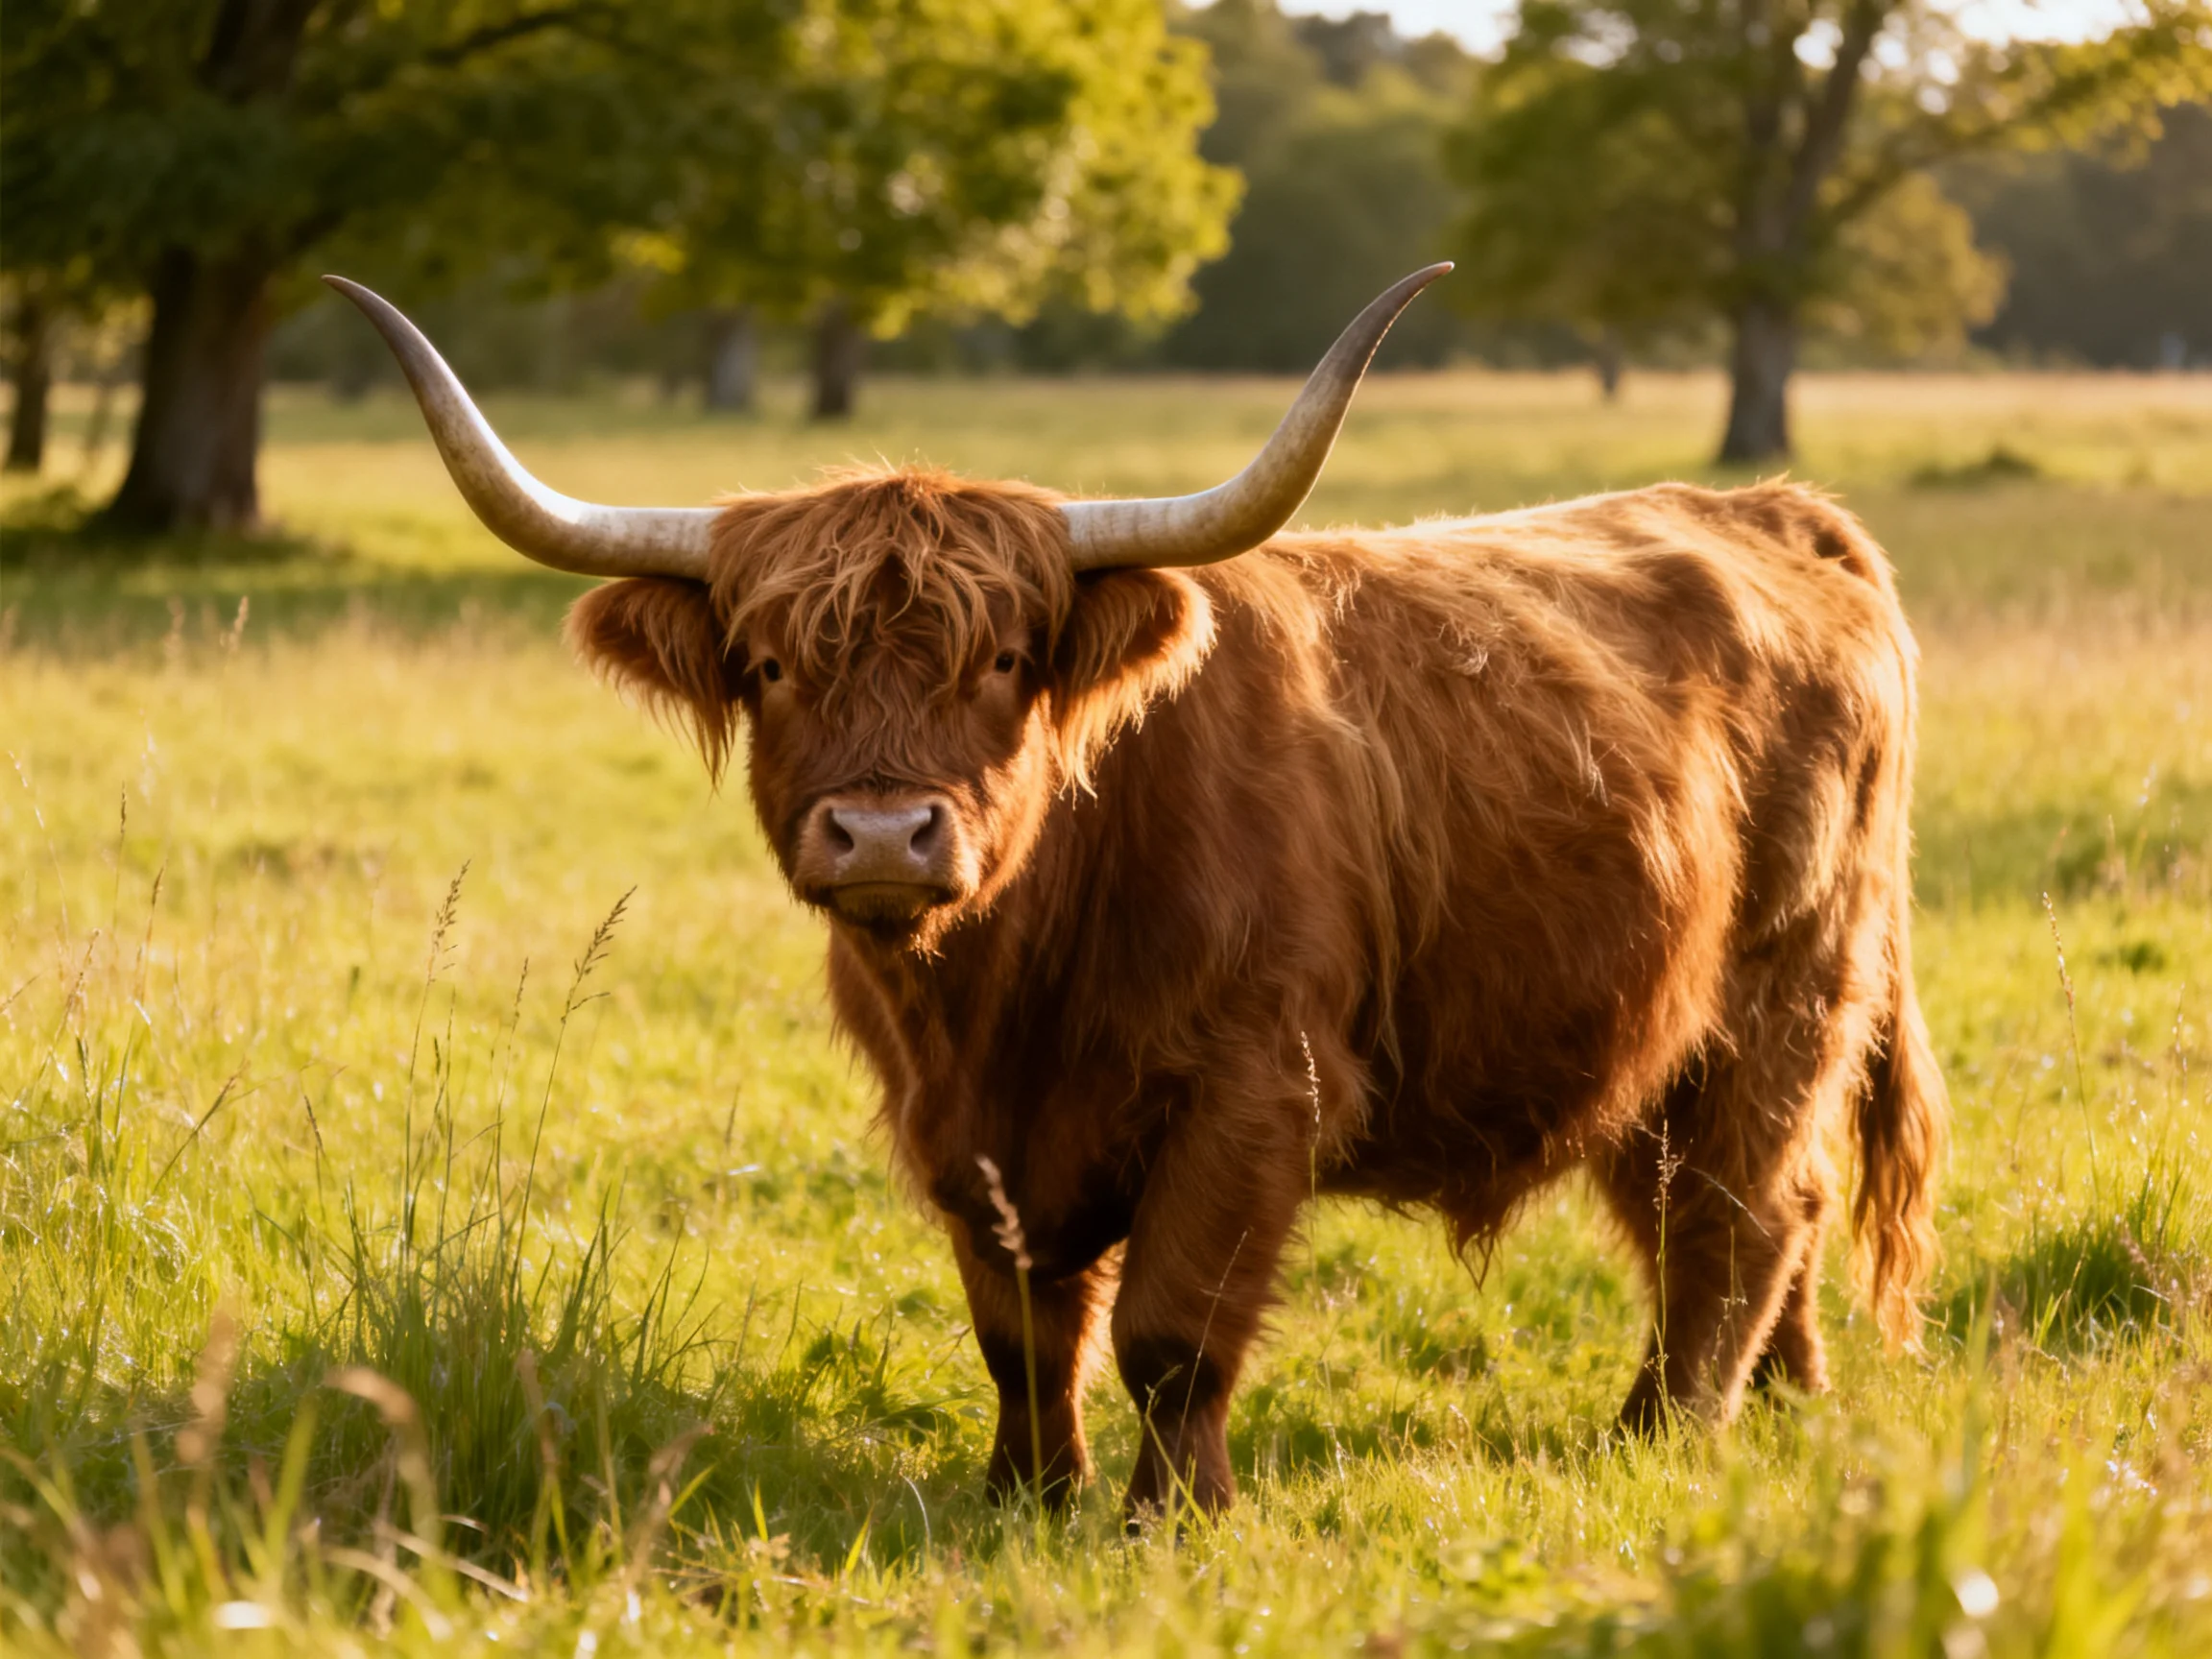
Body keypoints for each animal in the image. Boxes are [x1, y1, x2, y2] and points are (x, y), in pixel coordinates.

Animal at [332, 266, 1946, 1520]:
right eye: (774, 664)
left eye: (1001, 661)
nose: (882, 834)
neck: (1006, 986)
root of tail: (1776, 513)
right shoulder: (960, 1129)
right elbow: (1022, 1331)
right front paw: (1026, 1497)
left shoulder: (1254, 1086)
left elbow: (1173, 1328)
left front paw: (1173, 1514)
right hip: (1649, 1031)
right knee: (1734, 1209)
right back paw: (1783, 1405)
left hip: (1788, 986)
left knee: (1743, 1206)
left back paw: (1664, 1433)